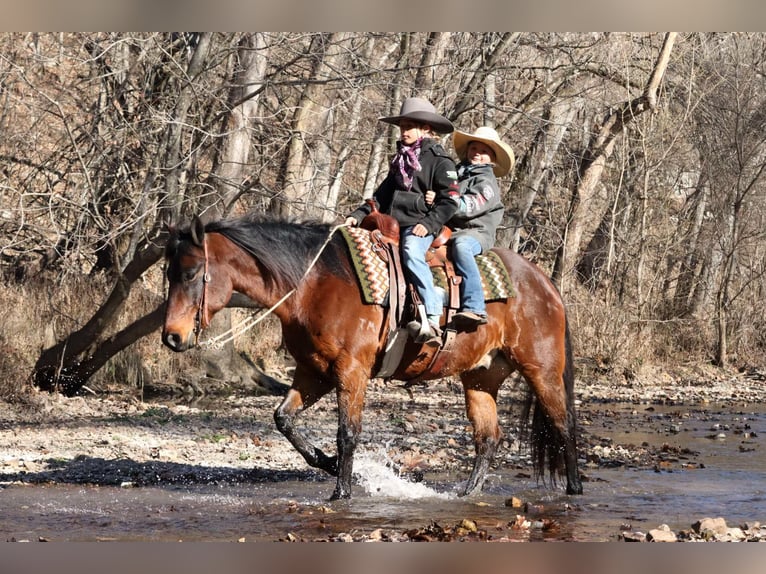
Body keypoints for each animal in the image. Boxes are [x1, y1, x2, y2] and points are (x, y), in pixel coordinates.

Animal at [162, 214, 584, 502]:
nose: (171, 336)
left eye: (192, 273)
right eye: (168, 274)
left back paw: (575, 488)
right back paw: (467, 494)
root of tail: (544, 283)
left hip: (542, 370)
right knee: (488, 437)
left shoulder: (352, 371)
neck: (315, 284)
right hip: (481, 378)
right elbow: (284, 419)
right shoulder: (313, 373)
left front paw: (342, 491)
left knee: (562, 425)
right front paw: (328, 463)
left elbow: (347, 432)